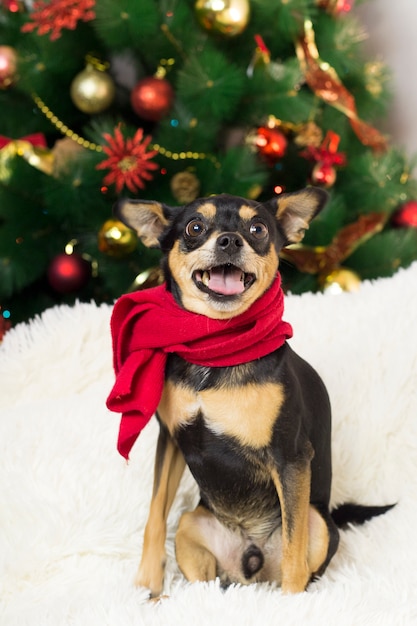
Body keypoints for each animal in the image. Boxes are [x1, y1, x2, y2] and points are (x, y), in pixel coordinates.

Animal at [106, 189, 390, 596]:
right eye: (195, 227)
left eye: (257, 229)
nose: (229, 240)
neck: (215, 346)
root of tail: (251, 565)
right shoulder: (171, 439)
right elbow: (154, 515)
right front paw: (148, 587)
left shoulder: (290, 458)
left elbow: (293, 544)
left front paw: (293, 603)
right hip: (191, 525)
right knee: (207, 580)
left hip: (319, 521)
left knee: (298, 554)